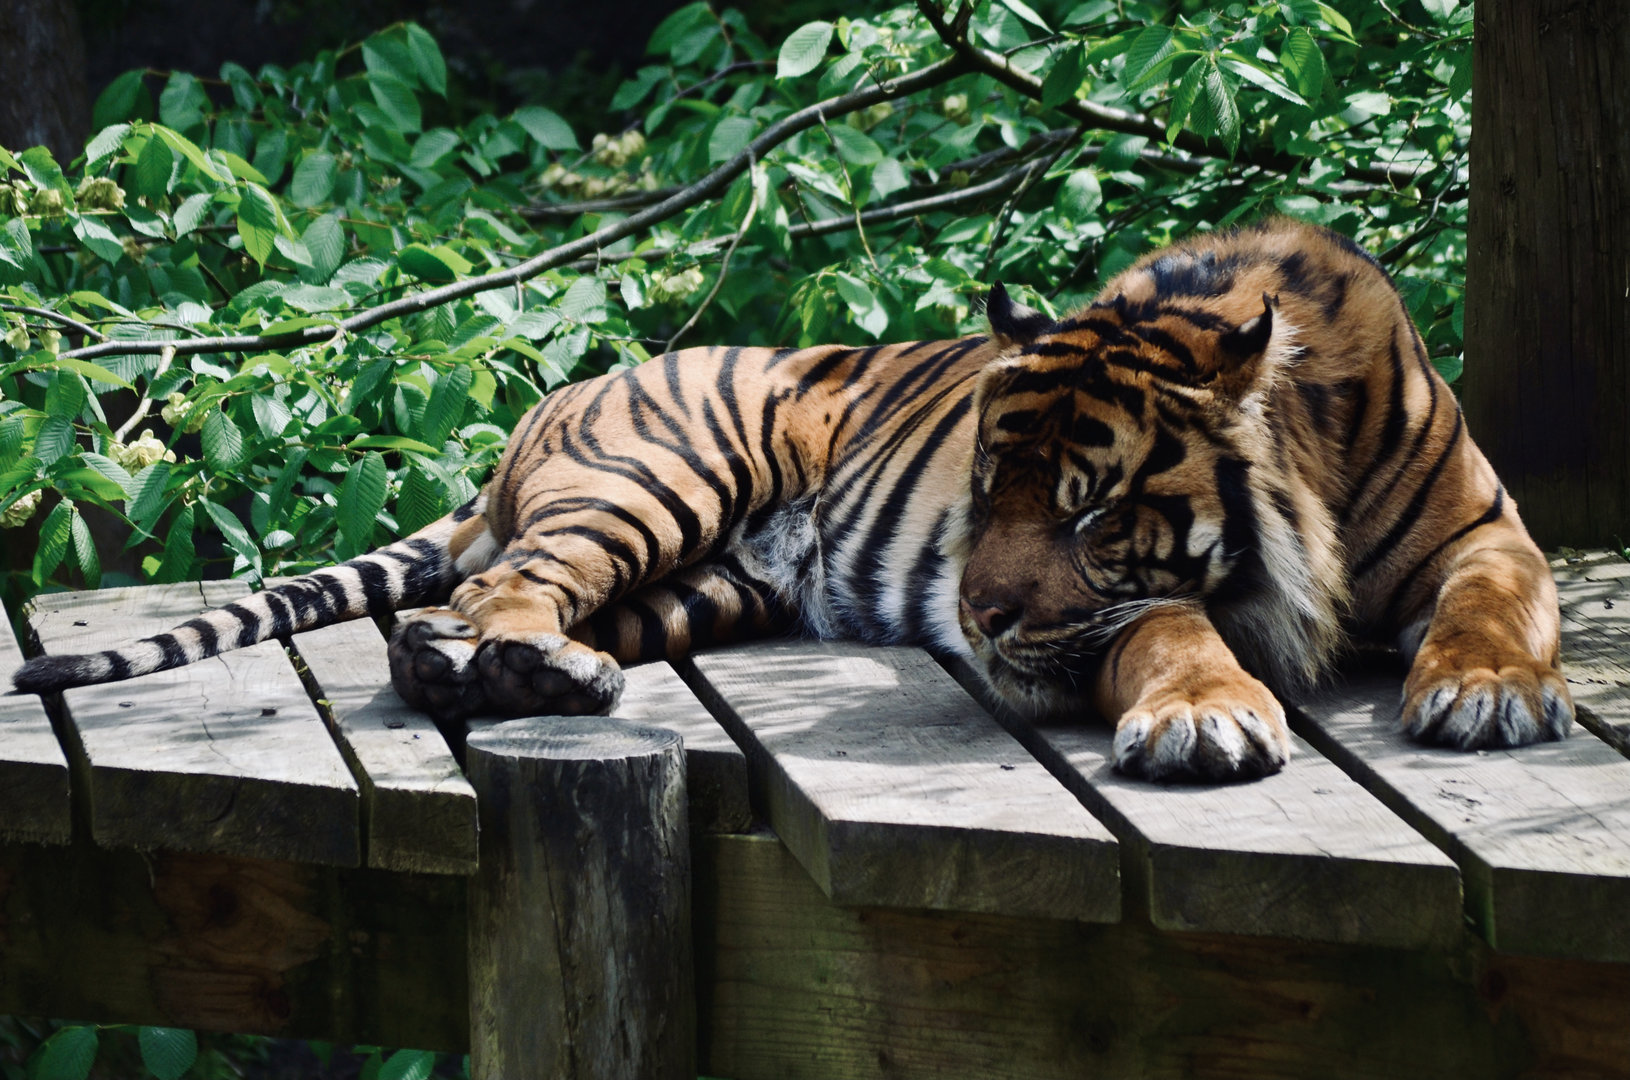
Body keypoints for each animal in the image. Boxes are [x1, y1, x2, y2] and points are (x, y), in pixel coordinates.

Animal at [10, 218, 1573, 782]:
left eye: (1085, 512)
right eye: (983, 497)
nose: (971, 616)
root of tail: (541, 411)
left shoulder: (1485, 532)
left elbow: (1495, 605)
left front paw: (1485, 693)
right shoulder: (1112, 615)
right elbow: (1161, 628)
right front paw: (1203, 712)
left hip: (701, 582)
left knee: (476, 626)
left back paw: (542, 677)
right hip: (658, 479)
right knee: (479, 596)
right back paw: (530, 665)